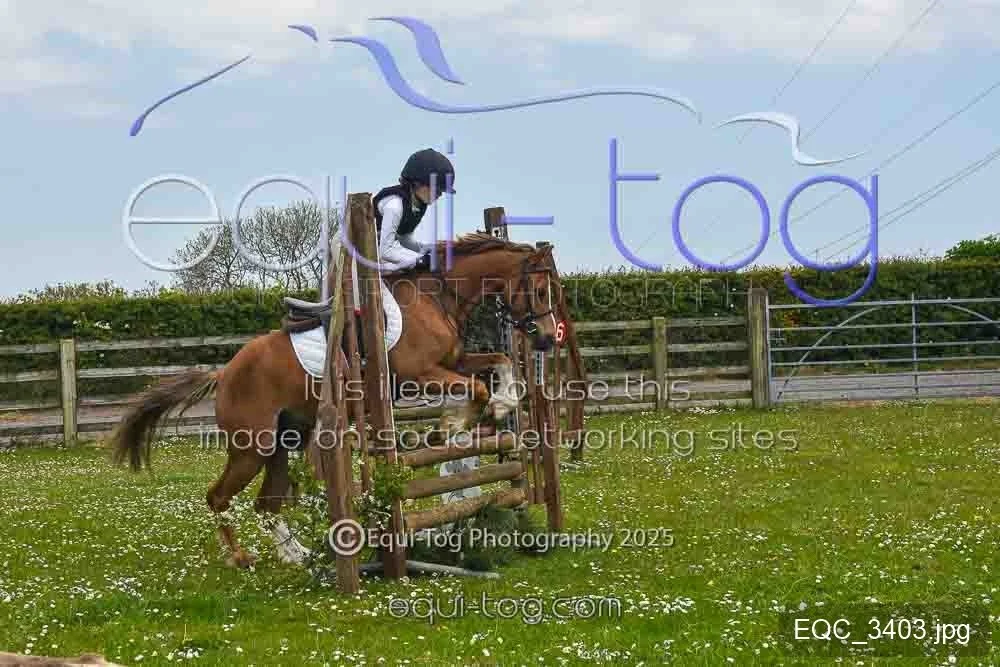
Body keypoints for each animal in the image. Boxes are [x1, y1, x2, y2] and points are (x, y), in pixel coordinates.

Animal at [108, 233, 562, 568]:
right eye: (540, 291)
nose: (546, 337)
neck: (437, 296)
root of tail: (225, 372)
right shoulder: (418, 374)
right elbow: (476, 388)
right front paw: (454, 424)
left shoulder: (453, 363)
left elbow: (500, 362)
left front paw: (499, 406)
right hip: (252, 446)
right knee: (219, 498)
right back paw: (241, 558)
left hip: (286, 439)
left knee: (267, 504)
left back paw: (298, 556)